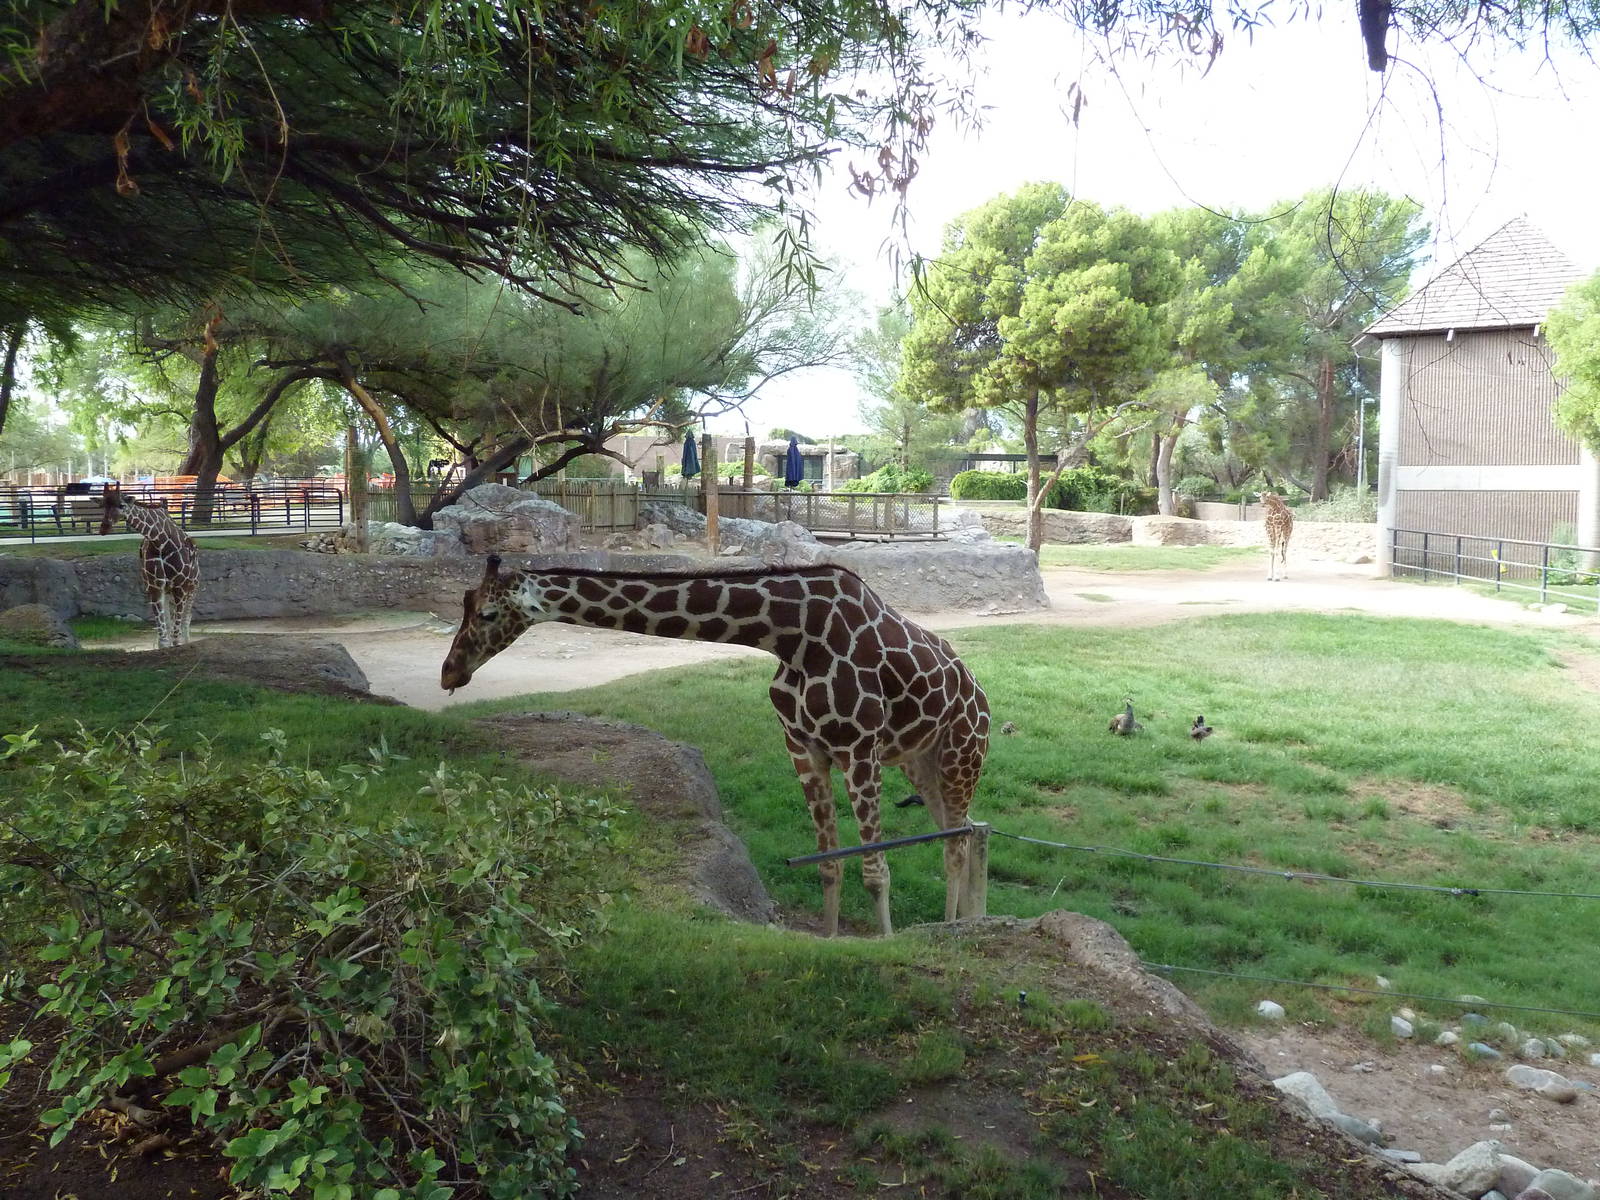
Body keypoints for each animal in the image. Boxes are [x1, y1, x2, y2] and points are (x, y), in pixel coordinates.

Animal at [99, 482, 200, 648]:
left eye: (121, 505)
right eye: (103, 505)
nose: (104, 528)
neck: (161, 541)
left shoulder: (180, 586)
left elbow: (177, 629)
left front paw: (178, 642)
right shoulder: (155, 586)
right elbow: (163, 626)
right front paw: (163, 643)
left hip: (193, 586)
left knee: (186, 617)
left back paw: (187, 640)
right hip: (169, 589)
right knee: (171, 617)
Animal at [440, 556, 991, 936]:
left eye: (487, 613)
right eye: (465, 605)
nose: (450, 672)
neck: (790, 636)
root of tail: (978, 693)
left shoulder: (858, 747)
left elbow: (875, 870)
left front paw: (888, 943)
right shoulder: (803, 747)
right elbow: (829, 863)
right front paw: (834, 940)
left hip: (961, 753)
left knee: (959, 840)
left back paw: (953, 928)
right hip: (919, 762)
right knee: (960, 833)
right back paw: (963, 924)